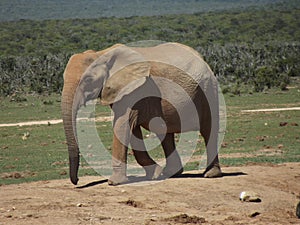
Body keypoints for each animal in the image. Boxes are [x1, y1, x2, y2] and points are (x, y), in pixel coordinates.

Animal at [61, 41, 221, 185]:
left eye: (88, 80)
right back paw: (170, 173)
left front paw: (114, 182)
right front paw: (155, 174)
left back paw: (211, 174)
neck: (101, 53)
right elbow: (131, 128)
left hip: (208, 90)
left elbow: (122, 124)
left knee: (209, 130)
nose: (77, 181)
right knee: (164, 132)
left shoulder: (135, 89)